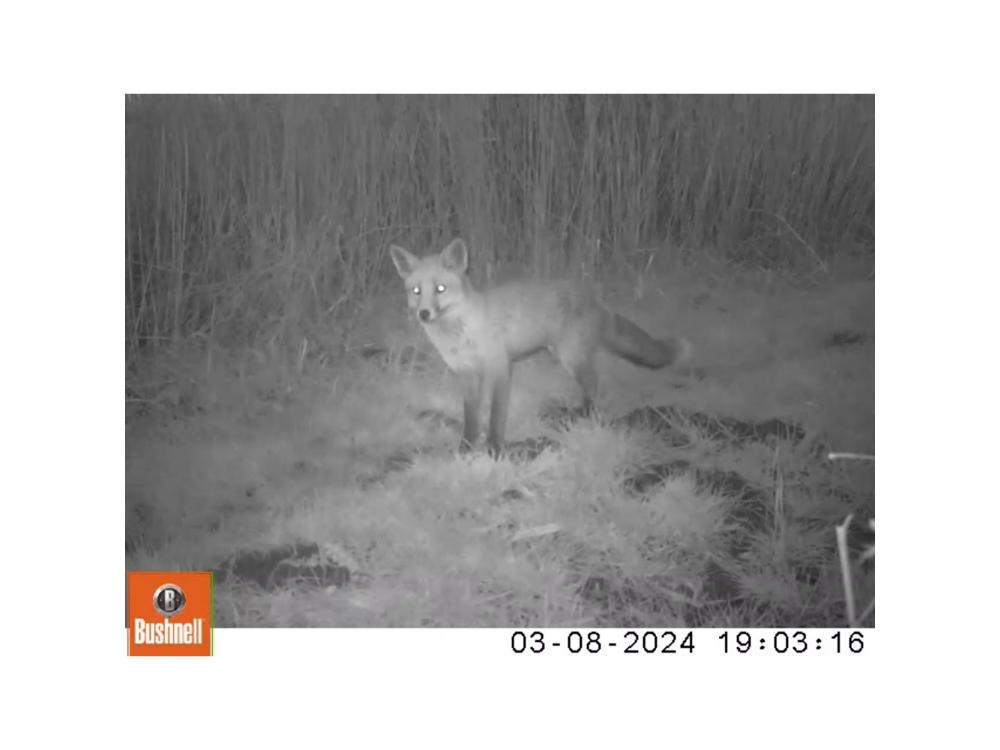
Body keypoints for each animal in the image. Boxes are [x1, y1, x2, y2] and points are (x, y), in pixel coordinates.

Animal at [389, 238, 691, 457]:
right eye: (416, 291)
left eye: (440, 289)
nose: (424, 314)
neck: (461, 334)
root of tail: (595, 298)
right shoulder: (467, 376)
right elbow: (471, 418)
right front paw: (466, 449)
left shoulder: (500, 368)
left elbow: (496, 416)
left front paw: (494, 450)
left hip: (572, 358)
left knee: (594, 384)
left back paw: (586, 416)